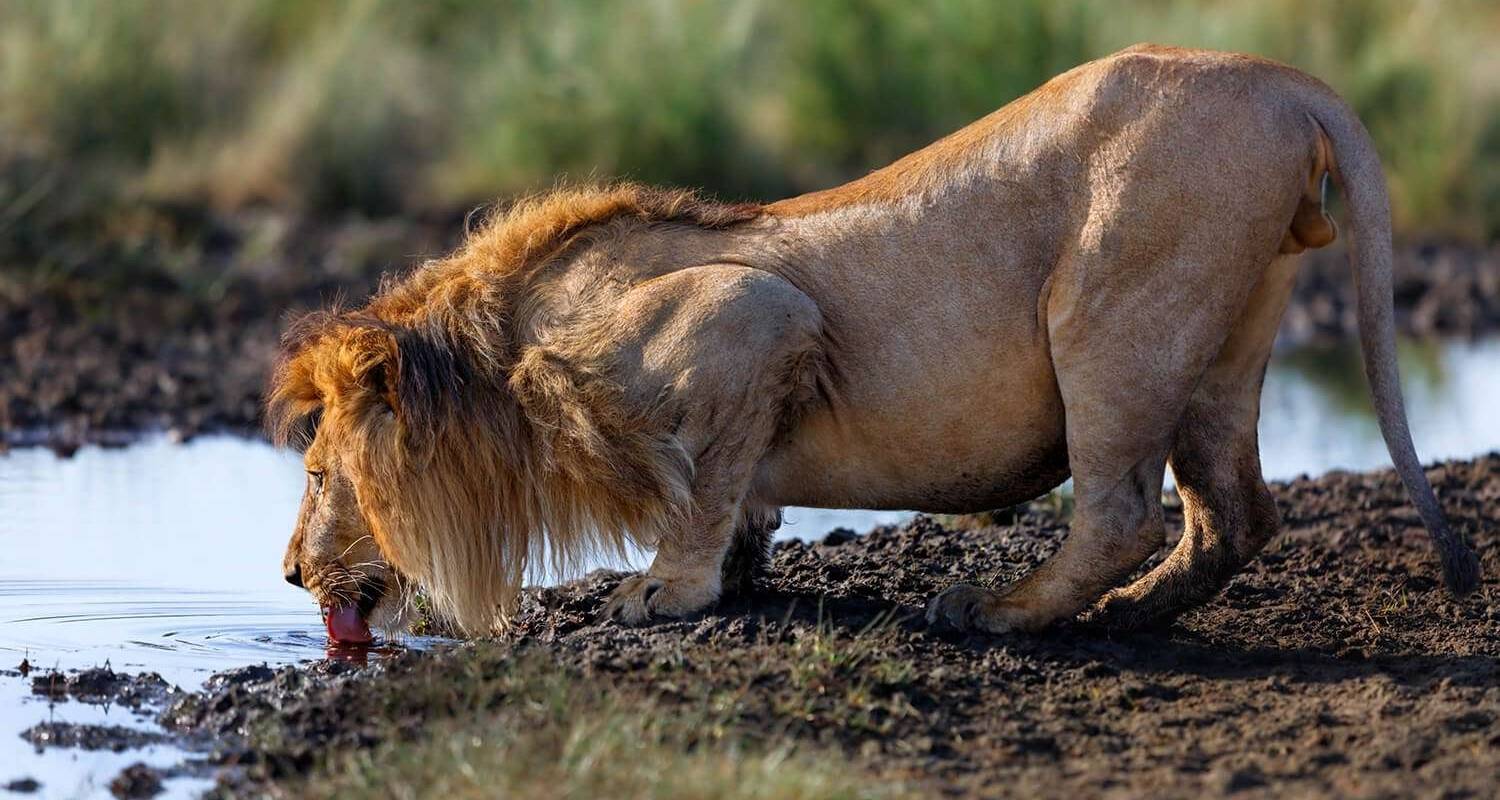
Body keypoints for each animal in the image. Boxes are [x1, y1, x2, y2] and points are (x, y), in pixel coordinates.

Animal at [267, 45, 1476, 642]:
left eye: (319, 474)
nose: (283, 573)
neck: (498, 355)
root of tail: (1277, 76)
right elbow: (732, 488)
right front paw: (742, 565)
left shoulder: (749, 314)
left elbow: (697, 492)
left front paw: (668, 593)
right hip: (1227, 338)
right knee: (1233, 513)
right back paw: (1132, 618)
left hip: (1113, 310)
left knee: (1124, 510)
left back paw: (1002, 612)